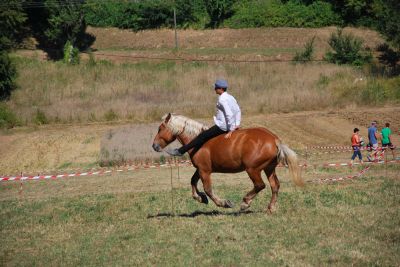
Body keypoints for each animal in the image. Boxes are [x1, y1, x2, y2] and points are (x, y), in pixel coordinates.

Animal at [153, 113, 304, 214]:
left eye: (160, 129)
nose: (154, 146)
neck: (198, 142)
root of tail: (274, 140)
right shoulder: (200, 169)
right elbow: (193, 182)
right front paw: (200, 198)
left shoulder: (204, 171)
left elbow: (208, 189)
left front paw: (224, 203)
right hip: (269, 168)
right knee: (275, 186)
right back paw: (270, 208)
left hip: (252, 169)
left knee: (260, 185)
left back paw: (245, 203)